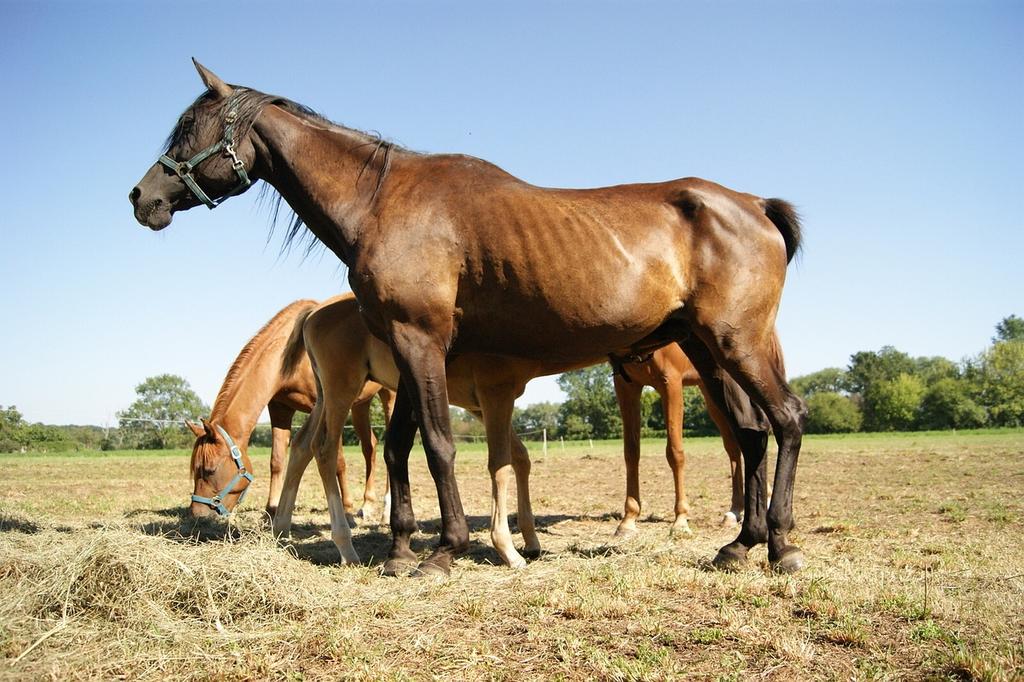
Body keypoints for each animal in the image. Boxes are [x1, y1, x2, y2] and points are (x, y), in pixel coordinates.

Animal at [184, 301, 391, 518]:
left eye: (210, 470)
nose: (197, 514)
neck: (293, 355)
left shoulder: (328, 404)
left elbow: (339, 461)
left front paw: (346, 507)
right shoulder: (280, 409)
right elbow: (277, 460)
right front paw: (272, 509)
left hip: (388, 395)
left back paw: (385, 510)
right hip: (361, 404)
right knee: (370, 446)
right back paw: (367, 505)